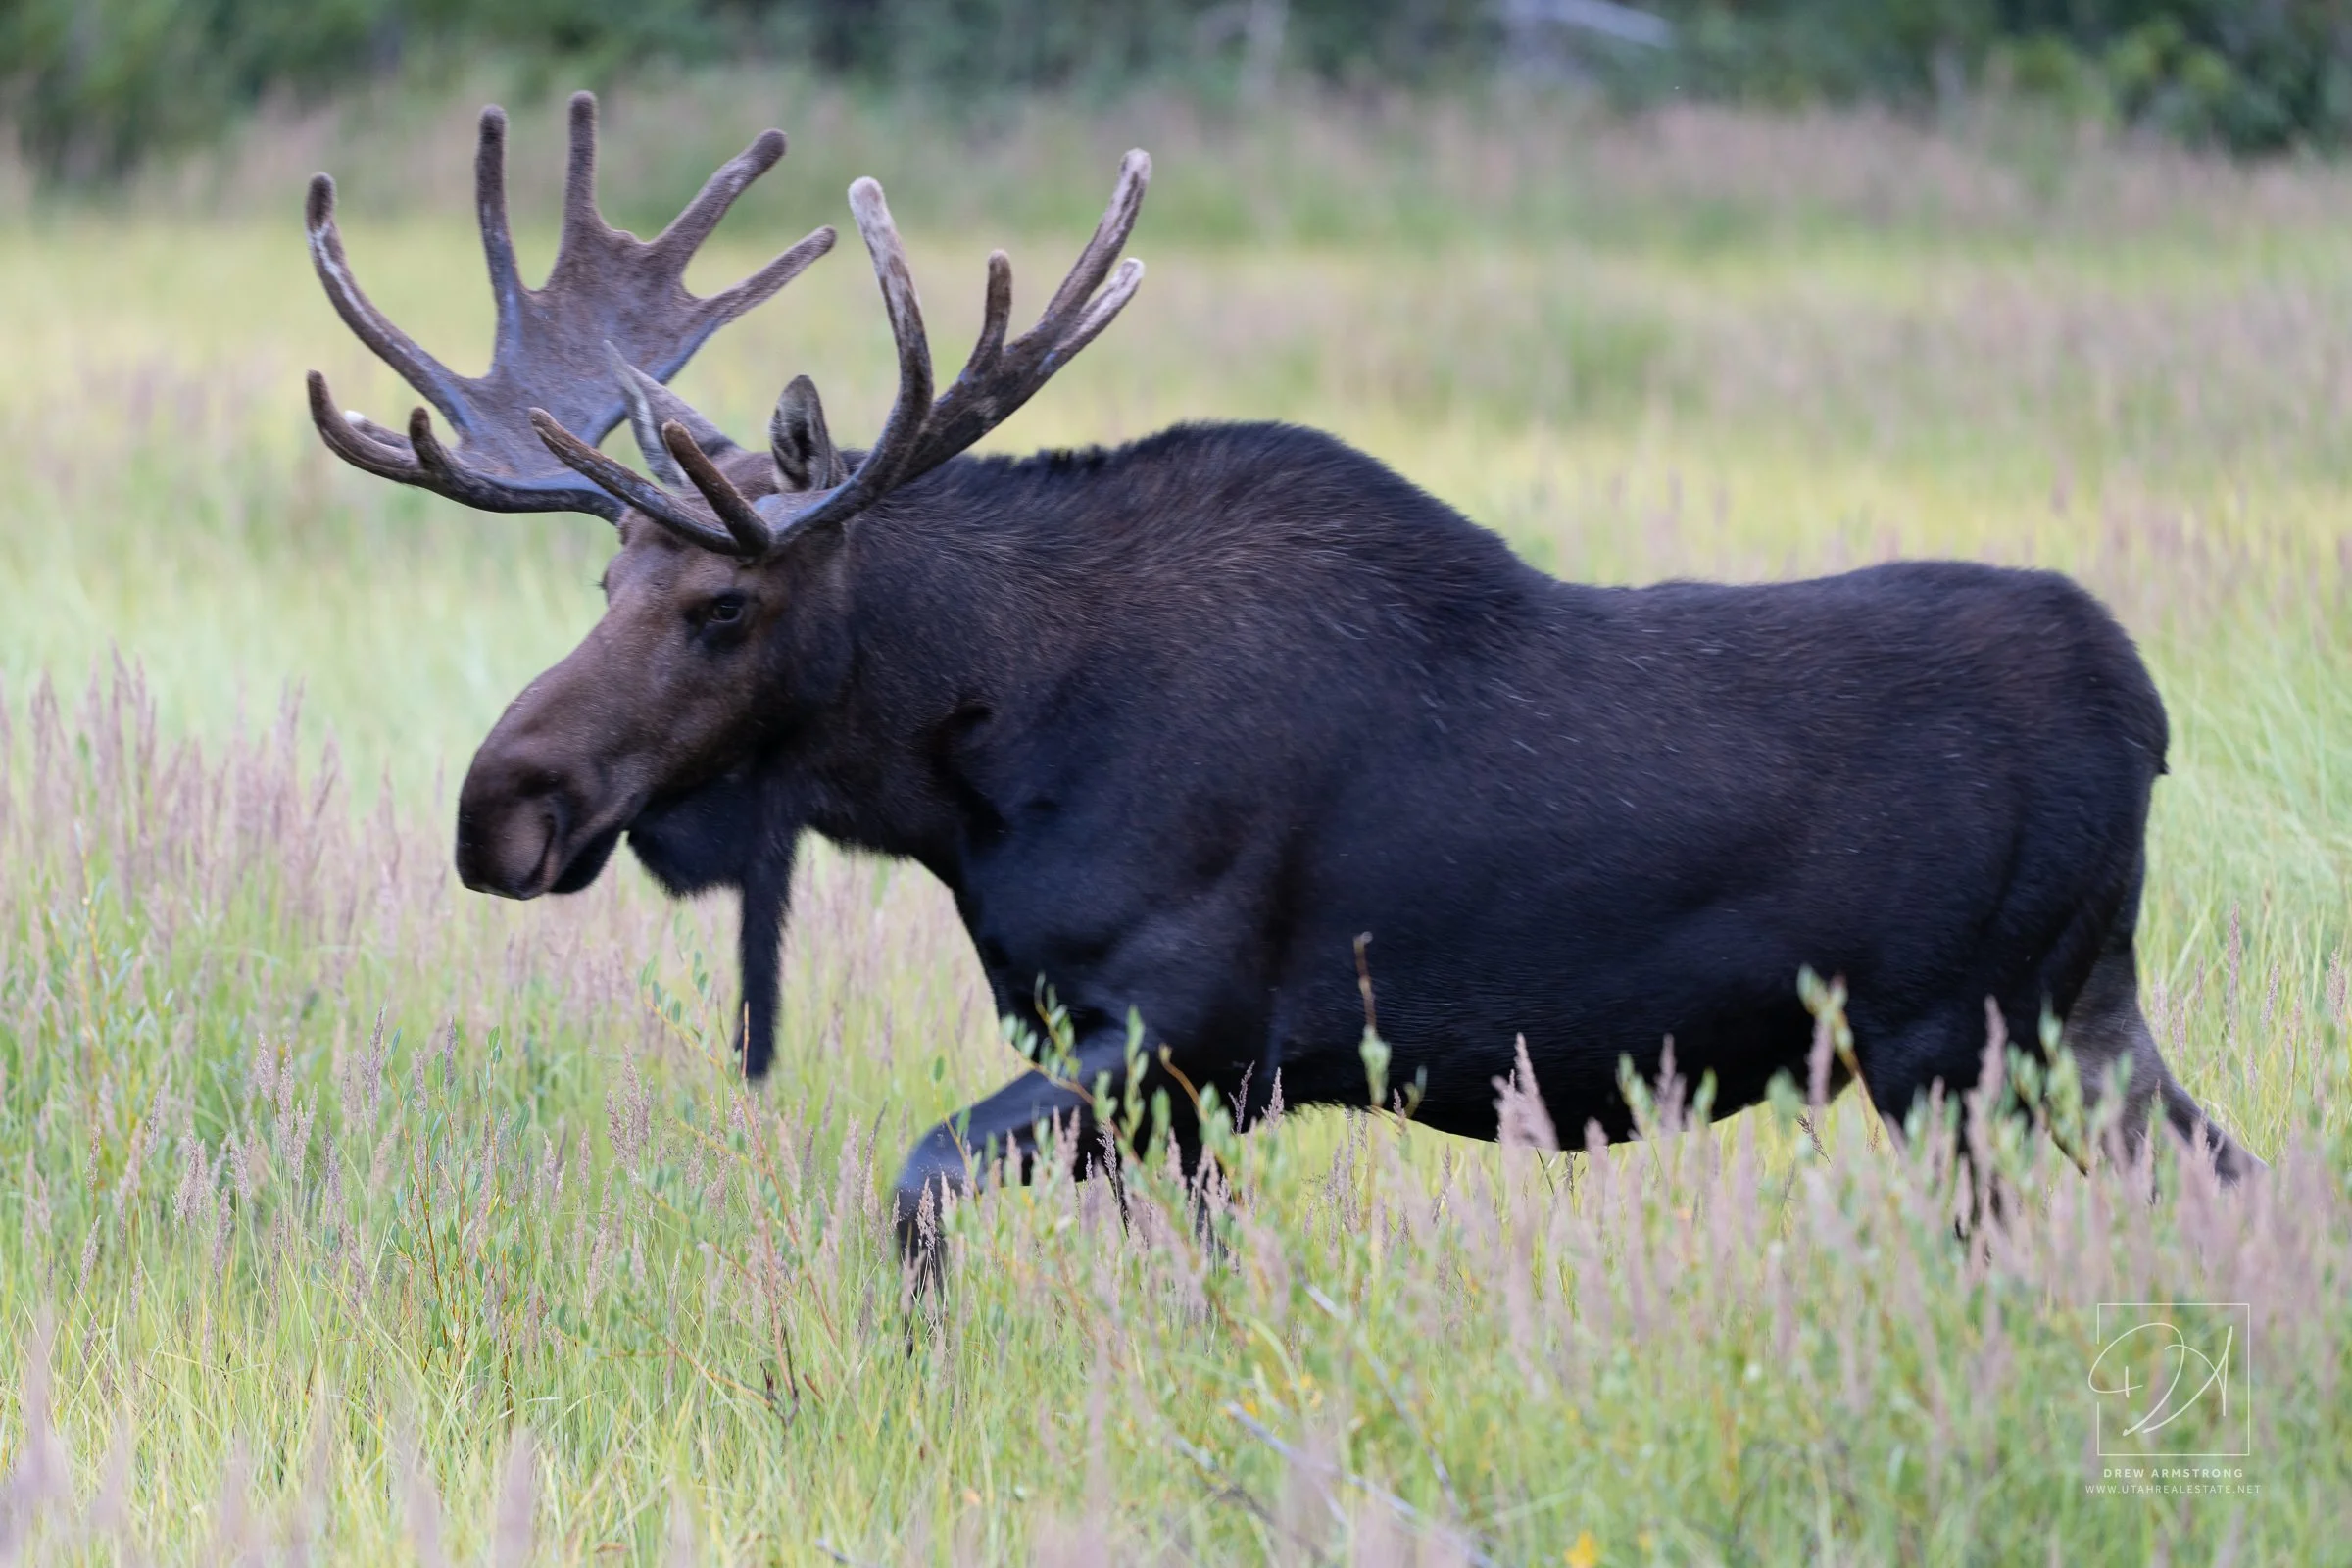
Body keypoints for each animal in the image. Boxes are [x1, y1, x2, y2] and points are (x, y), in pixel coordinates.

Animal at [307, 95, 2258, 1271]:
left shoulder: (1175, 1021)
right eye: (605, 576)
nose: (500, 807)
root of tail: (2154, 721)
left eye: (723, 604)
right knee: (2243, 1178)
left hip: (1955, 1044)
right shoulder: (1145, 1075)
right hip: (2088, 1015)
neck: (975, 777)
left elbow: (917, 1185)